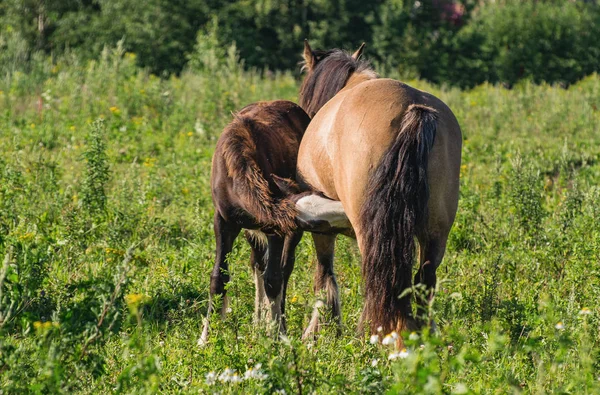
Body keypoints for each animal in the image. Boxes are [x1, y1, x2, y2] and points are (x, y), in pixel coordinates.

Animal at [199, 101, 310, 346]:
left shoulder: (275, 228)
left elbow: (274, 279)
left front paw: (278, 335)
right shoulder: (224, 222)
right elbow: (218, 278)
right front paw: (205, 338)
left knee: (284, 267)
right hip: (252, 231)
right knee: (257, 262)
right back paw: (258, 322)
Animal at [298, 41, 462, 342]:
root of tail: (412, 108)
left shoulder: (321, 227)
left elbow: (324, 275)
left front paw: (317, 332)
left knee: (378, 276)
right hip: (436, 232)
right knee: (423, 280)